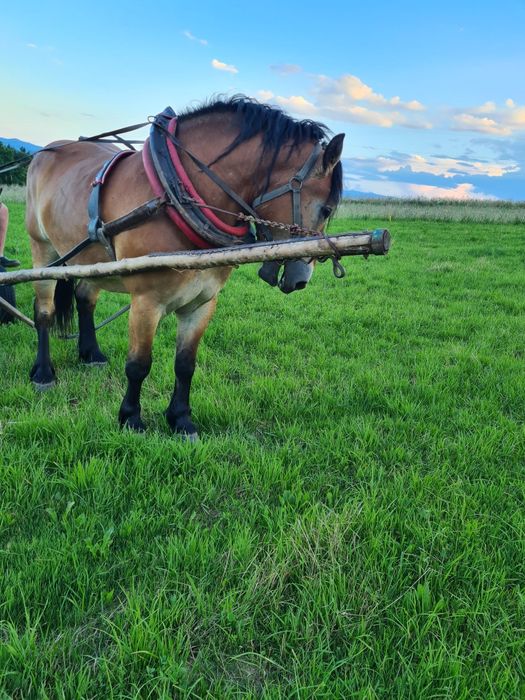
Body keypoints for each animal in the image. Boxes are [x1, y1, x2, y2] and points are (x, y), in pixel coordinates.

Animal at [25, 94, 344, 438]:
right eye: (326, 208)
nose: (301, 279)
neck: (174, 196)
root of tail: (47, 150)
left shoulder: (202, 302)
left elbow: (186, 364)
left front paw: (180, 419)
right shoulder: (146, 302)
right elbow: (139, 364)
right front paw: (131, 418)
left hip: (90, 260)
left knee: (85, 299)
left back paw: (91, 354)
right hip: (43, 250)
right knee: (44, 312)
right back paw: (43, 373)